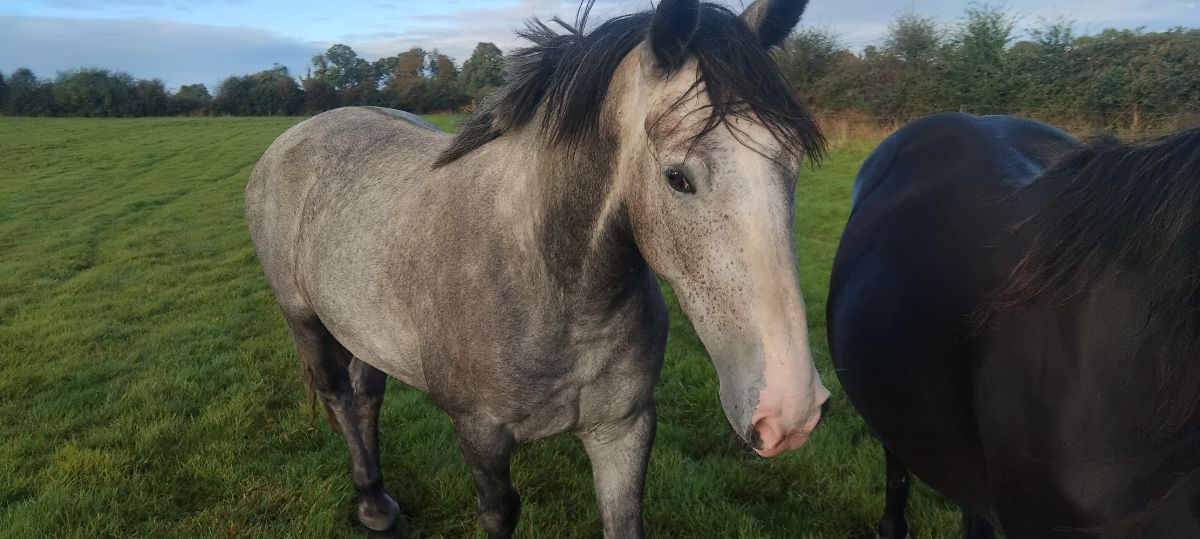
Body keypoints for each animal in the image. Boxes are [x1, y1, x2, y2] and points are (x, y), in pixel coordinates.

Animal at [245, 0, 832, 536]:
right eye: (677, 177)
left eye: (793, 160)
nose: (791, 412)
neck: (553, 287)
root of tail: (296, 135)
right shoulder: (480, 436)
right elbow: (499, 513)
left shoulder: (624, 430)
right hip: (303, 318)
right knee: (338, 393)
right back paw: (371, 501)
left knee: (367, 393)